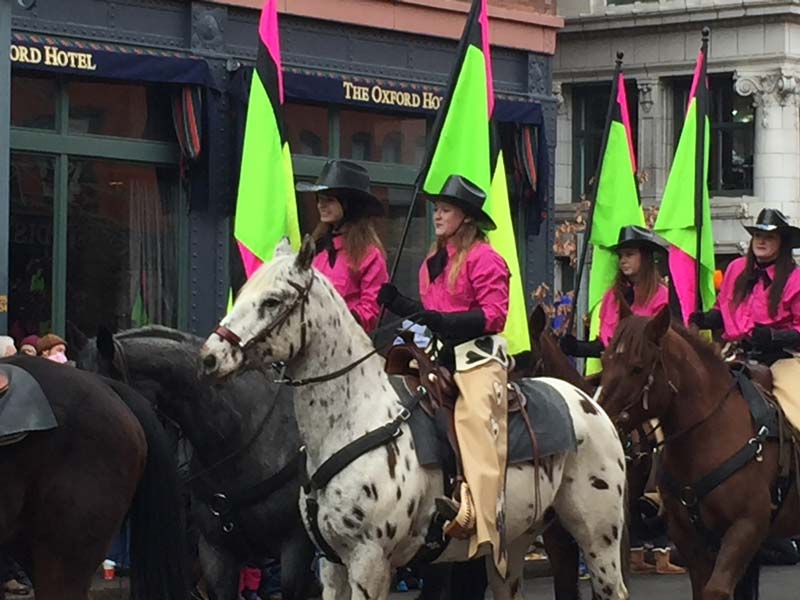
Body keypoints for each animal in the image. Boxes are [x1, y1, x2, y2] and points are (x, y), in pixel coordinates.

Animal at [202, 237, 632, 596]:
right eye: (242, 294)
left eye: (272, 301)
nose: (210, 357)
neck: (357, 421)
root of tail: (587, 400)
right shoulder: (331, 564)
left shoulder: (370, 562)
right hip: (513, 544)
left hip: (598, 538)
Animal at [596, 308, 796, 596]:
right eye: (604, 360)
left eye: (637, 367)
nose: (601, 419)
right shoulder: (689, 537)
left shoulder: (746, 526)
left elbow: (716, 590)